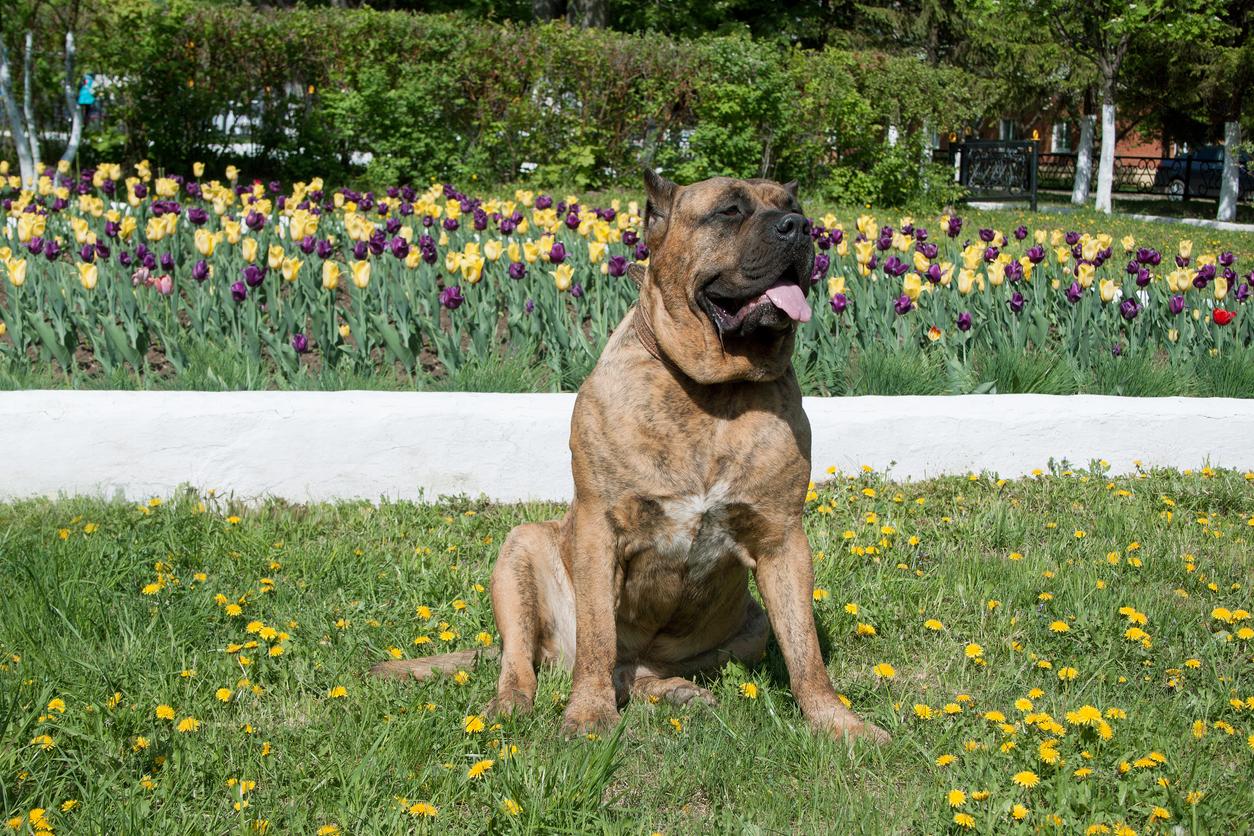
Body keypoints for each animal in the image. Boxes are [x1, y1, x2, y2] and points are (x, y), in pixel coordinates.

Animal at [371, 170, 892, 747]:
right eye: (730, 210)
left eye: (793, 205)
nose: (799, 227)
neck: (712, 393)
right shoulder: (600, 529)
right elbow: (598, 636)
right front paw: (588, 716)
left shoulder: (784, 539)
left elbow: (806, 651)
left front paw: (836, 721)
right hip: (519, 554)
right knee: (524, 660)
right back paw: (511, 704)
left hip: (750, 627)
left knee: (638, 672)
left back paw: (676, 691)